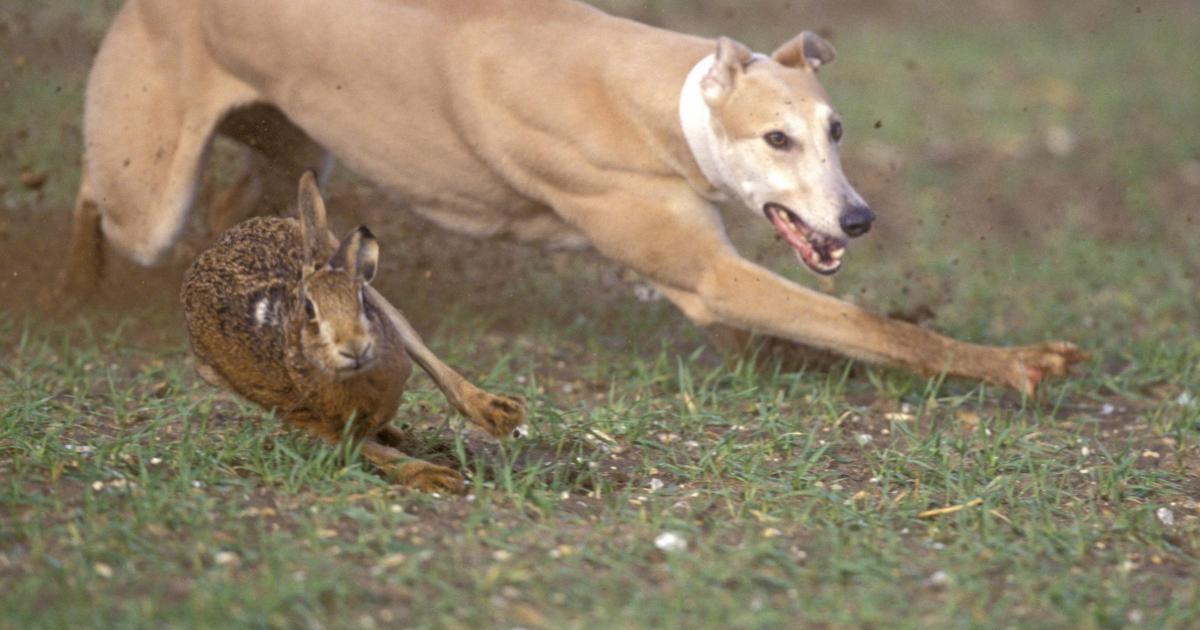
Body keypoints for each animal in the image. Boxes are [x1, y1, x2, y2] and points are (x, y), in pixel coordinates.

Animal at [181, 172, 526, 493]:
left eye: (359, 299)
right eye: (308, 311)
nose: (354, 347)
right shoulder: (309, 415)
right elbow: (366, 449)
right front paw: (435, 477)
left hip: (388, 310)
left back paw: (502, 413)